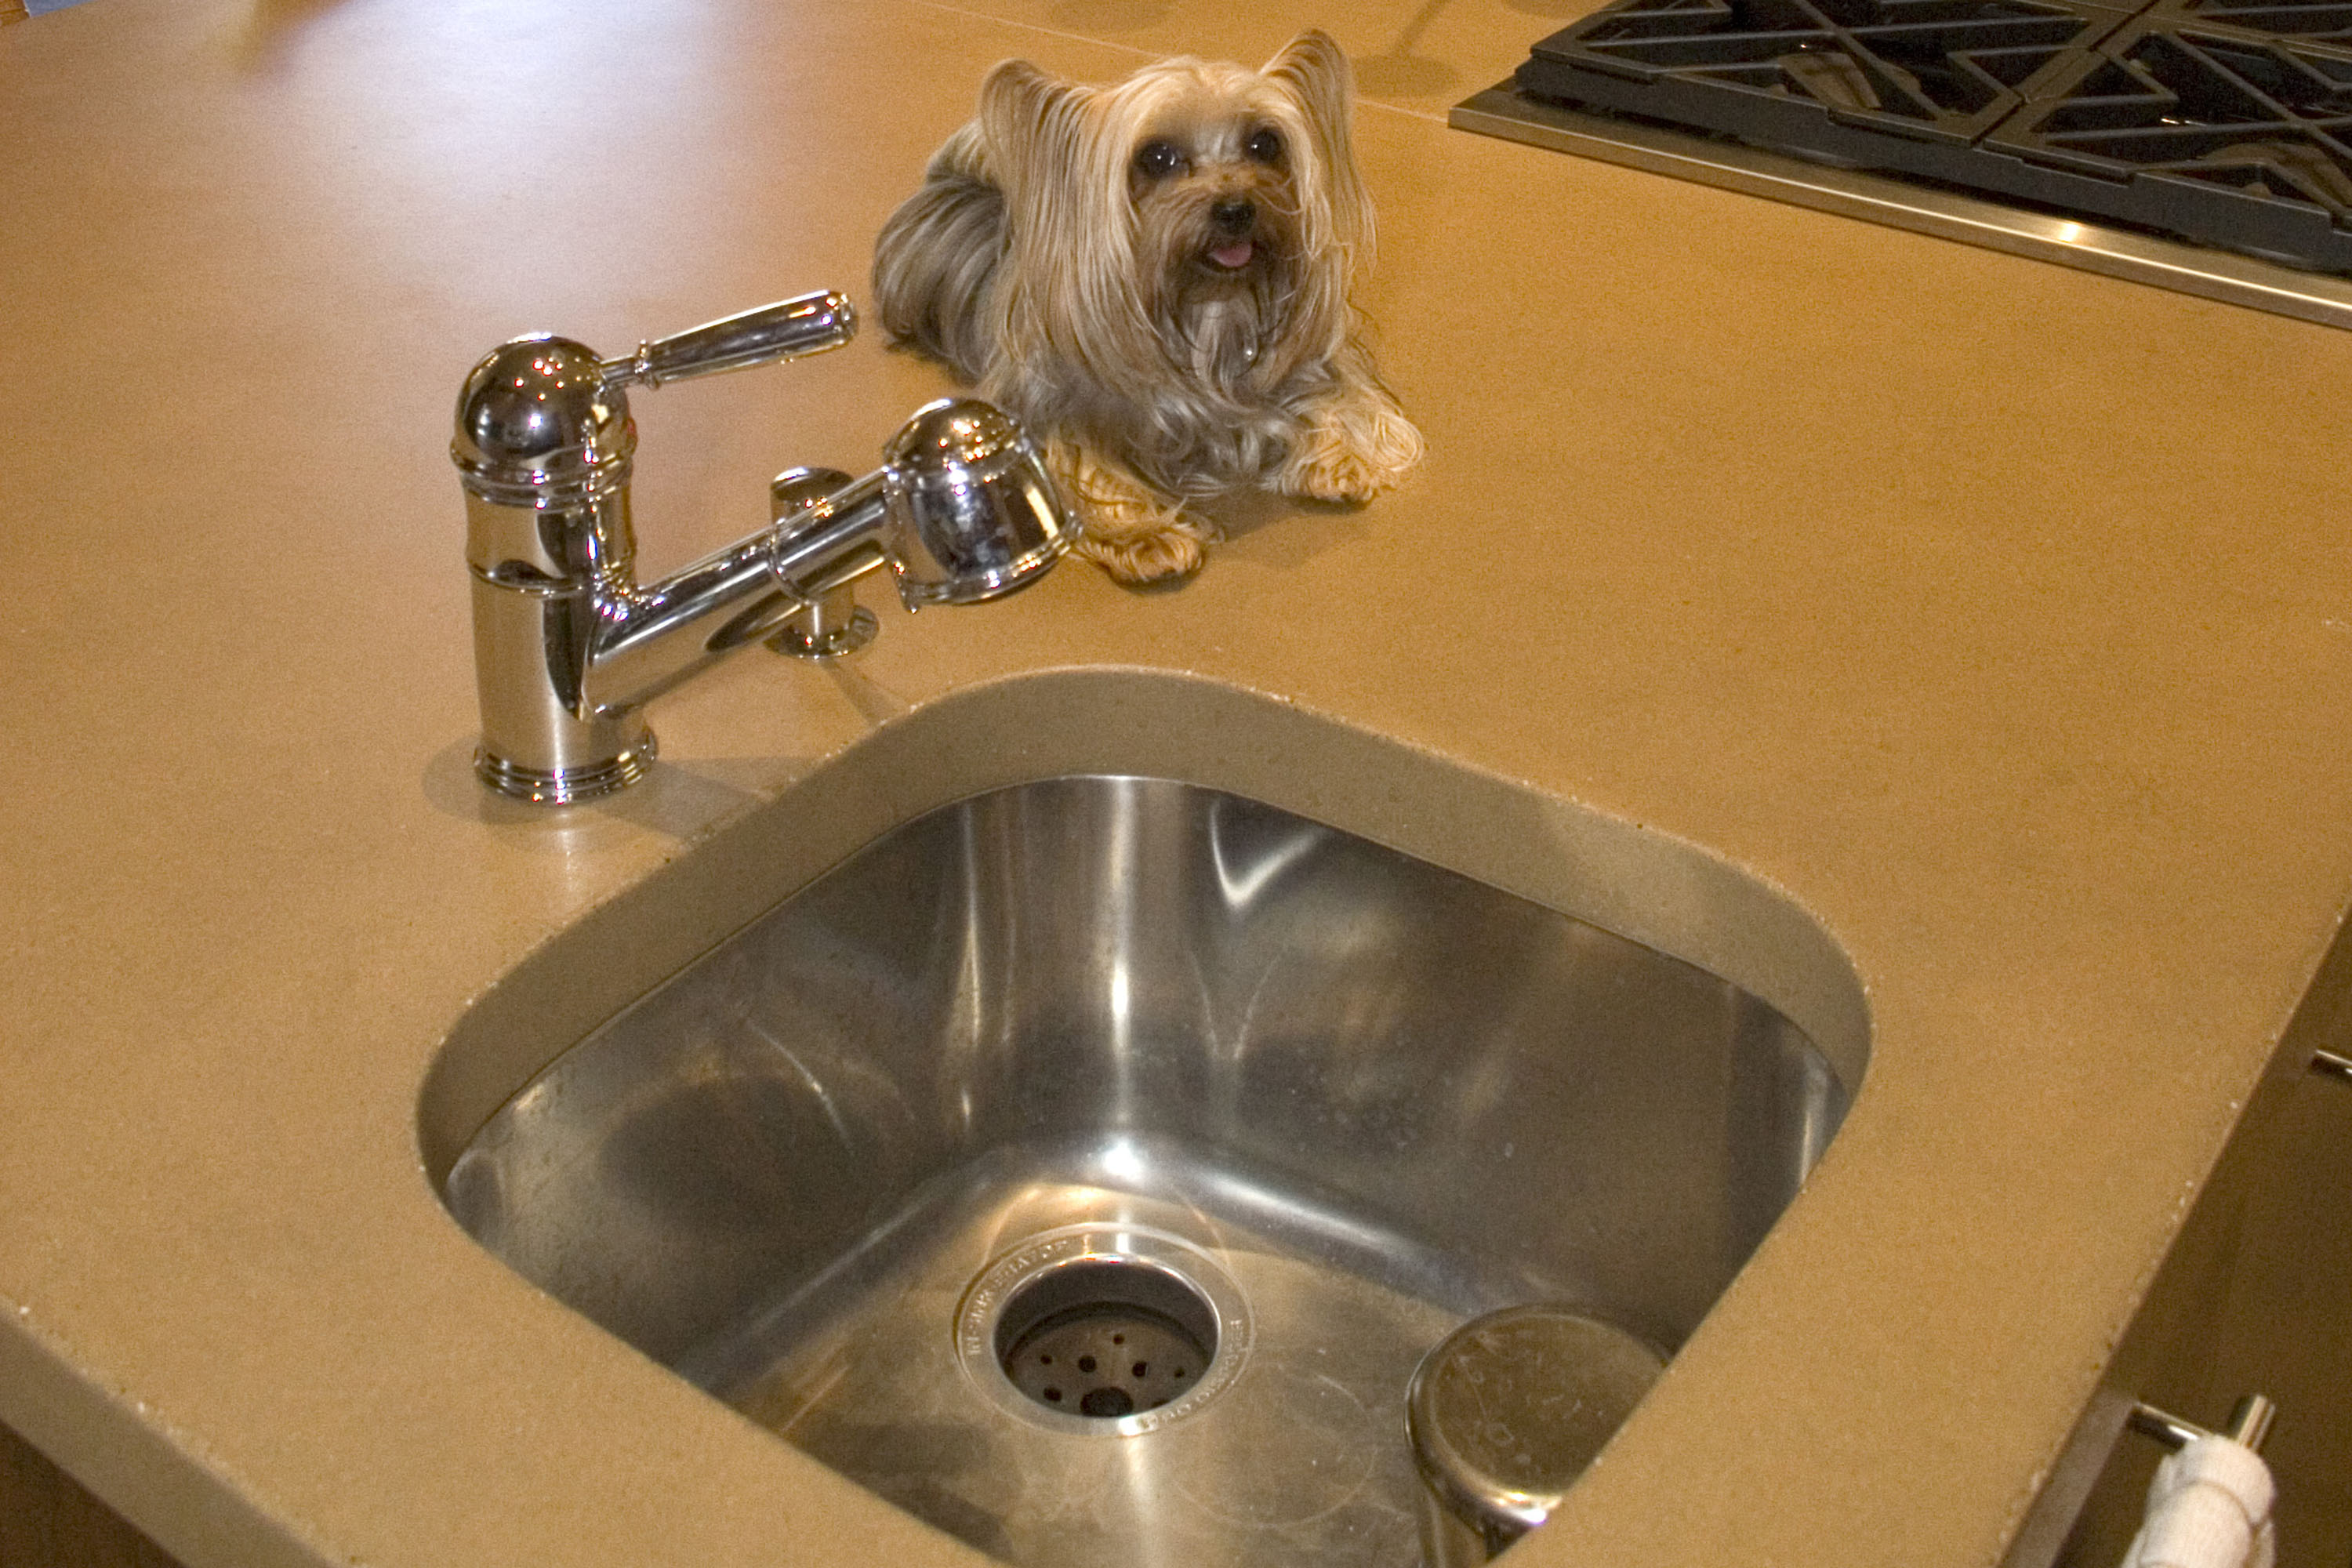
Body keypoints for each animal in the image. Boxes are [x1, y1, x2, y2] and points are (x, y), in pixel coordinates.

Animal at [875, 31, 1421, 583]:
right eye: (1156, 157)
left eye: (1266, 143)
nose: (1236, 209)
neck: (1207, 307)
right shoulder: (1051, 407)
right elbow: (1079, 468)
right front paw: (1145, 536)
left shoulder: (1313, 361)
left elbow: (1343, 401)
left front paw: (1341, 461)